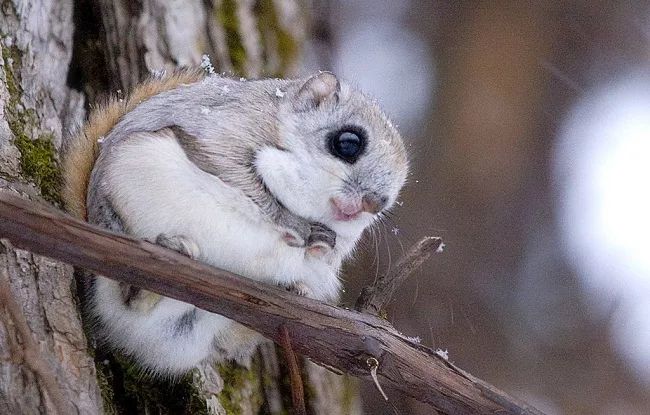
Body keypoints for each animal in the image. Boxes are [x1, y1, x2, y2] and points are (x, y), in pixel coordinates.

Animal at [60, 68, 404, 374]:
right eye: (348, 142)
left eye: (390, 198)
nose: (374, 203)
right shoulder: (226, 133)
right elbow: (242, 179)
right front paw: (298, 226)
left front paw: (318, 248)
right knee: (128, 296)